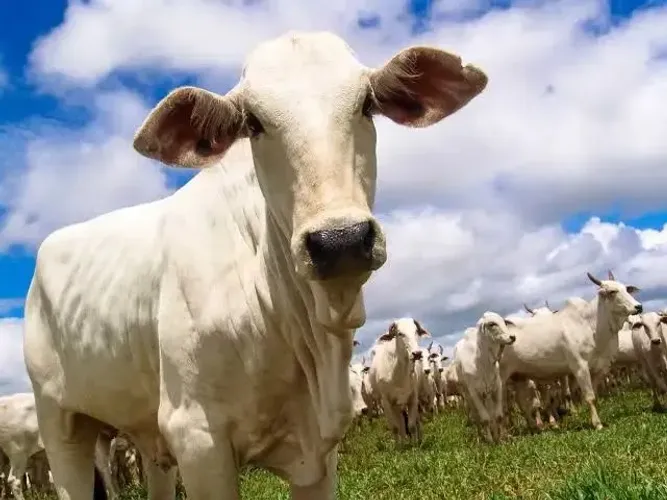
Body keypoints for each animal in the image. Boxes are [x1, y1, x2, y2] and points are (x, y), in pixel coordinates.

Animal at [23, 30, 488, 499]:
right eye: (255, 123)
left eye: (366, 104)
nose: (340, 240)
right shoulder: (198, 440)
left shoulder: (318, 456)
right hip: (60, 428)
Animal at [500, 271, 642, 430]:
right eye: (612, 291)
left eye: (626, 289)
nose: (638, 307)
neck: (591, 325)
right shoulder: (579, 367)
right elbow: (589, 396)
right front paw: (597, 424)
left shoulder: (600, 367)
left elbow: (594, 394)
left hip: (519, 378)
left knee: (522, 404)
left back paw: (536, 427)